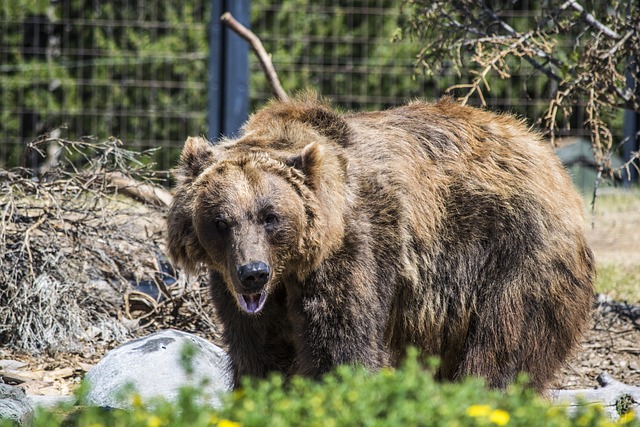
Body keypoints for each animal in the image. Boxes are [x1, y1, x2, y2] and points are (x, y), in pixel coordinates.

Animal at [165, 92, 596, 392]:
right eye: (220, 222)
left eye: (271, 216)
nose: (253, 273)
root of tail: (550, 159)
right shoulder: (240, 291)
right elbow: (259, 351)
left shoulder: (358, 248)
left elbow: (340, 346)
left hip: (512, 259)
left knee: (501, 347)